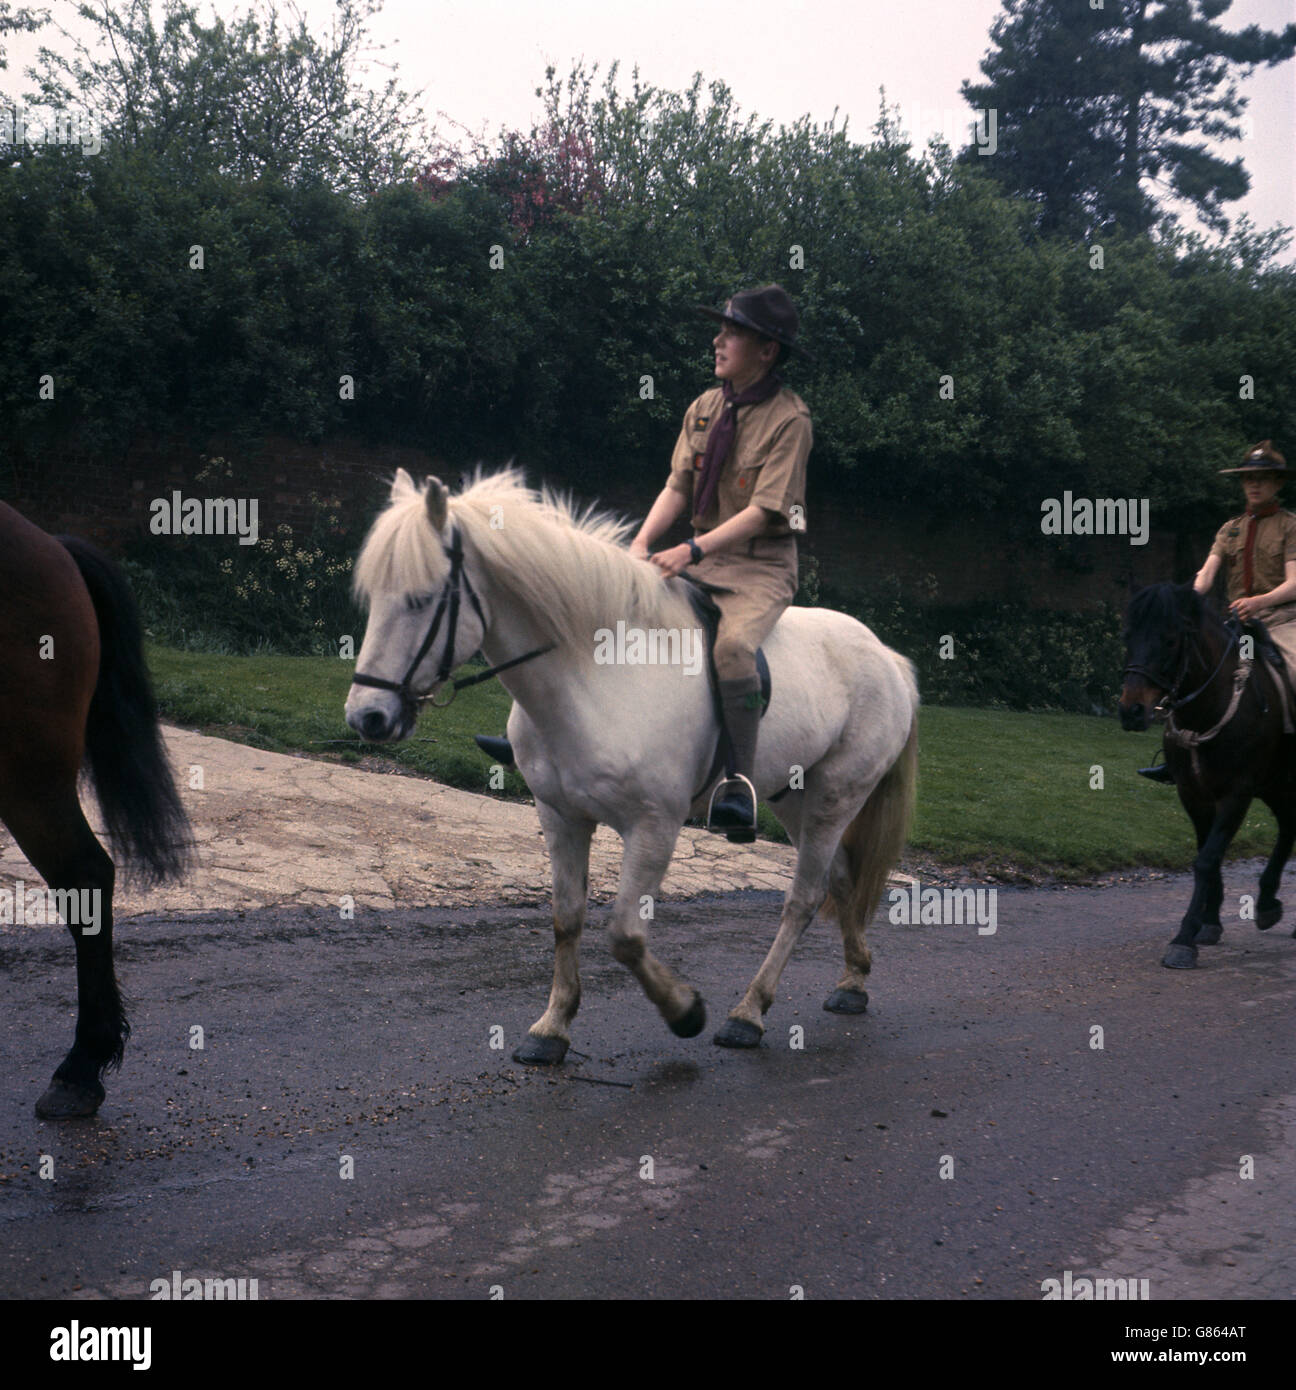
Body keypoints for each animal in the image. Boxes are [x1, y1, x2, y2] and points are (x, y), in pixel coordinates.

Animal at [344, 472, 923, 1056]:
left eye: (420, 600)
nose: (367, 717)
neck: (594, 678)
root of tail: (887, 657)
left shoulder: (654, 826)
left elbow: (624, 934)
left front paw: (685, 1011)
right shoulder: (560, 815)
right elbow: (567, 917)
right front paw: (552, 1026)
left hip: (835, 795)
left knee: (803, 898)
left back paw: (749, 1013)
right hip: (794, 796)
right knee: (841, 878)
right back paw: (852, 980)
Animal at [1112, 583, 1296, 967]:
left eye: (1170, 640)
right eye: (1127, 636)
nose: (1131, 711)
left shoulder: (1236, 794)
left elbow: (1207, 859)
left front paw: (1184, 938)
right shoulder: (1193, 793)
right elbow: (1206, 854)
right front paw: (1209, 922)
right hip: (1275, 784)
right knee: (1289, 824)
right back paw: (1267, 901)